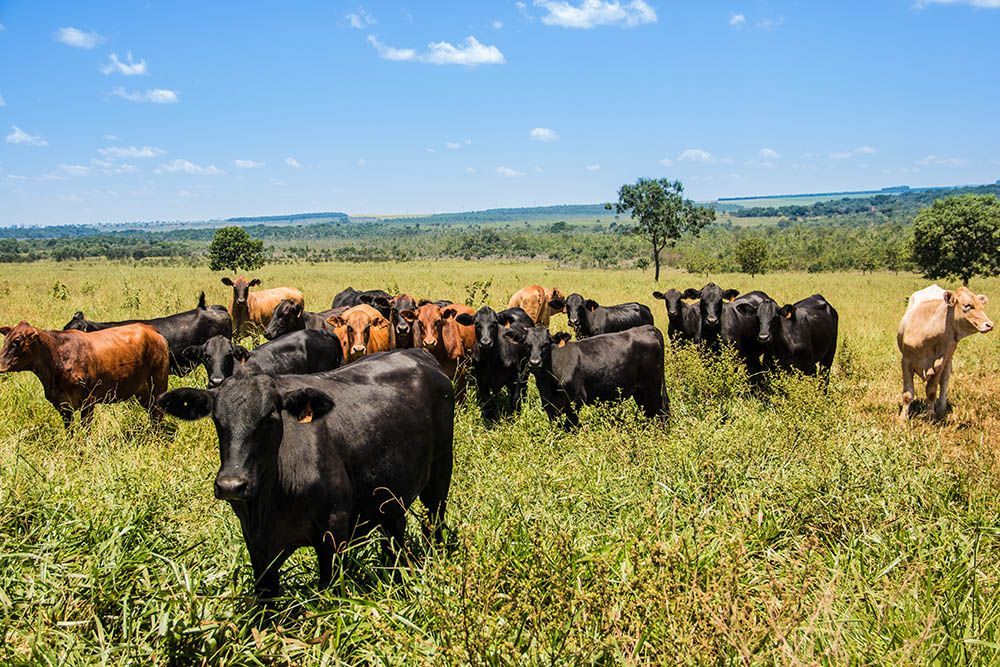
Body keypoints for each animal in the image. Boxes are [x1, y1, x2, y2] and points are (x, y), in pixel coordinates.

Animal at [0, 322, 168, 426]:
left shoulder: (88, 401)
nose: (0, 364)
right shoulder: (63, 406)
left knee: (158, 414)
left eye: (17, 341)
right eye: (5, 340)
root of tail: (150, 329)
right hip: (142, 393)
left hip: (158, 386)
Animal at [157, 348, 454, 597]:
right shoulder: (257, 547)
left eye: (270, 417)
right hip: (390, 496)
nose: (231, 485)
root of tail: (419, 353)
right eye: (217, 420)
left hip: (440, 476)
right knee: (394, 533)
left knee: (434, 523)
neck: (270, 503)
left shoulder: (334, 532)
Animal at [508, 324, 668, 429]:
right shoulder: (549, 404)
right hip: (640, 391)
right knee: (648, 412)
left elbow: (570, 427)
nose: (535, 362)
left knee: (660, 411)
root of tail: (648, 328)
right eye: (526, 344)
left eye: (546, 344)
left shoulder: (576, 401)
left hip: (654, 387)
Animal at [897, 285, 992, 421]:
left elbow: (931, 391)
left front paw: (930, 416)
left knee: (944, 382)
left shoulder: (941, 362)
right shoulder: (906, 361)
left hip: (948, 360)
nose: (990, 324)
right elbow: (908, 393)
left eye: (982, 306)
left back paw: (941, 408)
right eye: (967, 305)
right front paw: (902, 419)